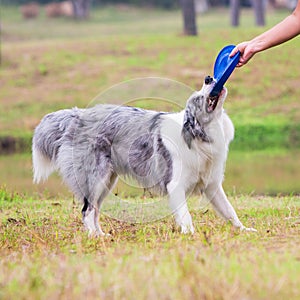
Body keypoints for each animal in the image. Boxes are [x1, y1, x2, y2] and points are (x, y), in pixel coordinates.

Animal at [33, 76, 258, 236]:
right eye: (197, 98)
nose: (209, 78)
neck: (199, 136)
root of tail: (75, 115)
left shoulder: (212, 185)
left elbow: (230, 211)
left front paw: (244, 230)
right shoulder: (175, 185)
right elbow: (185, 216)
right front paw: (190, 235)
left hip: (107, 181)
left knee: (95, 209)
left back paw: (102, 235)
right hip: (95, 178)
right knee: (87, 210)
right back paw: (93, 236)